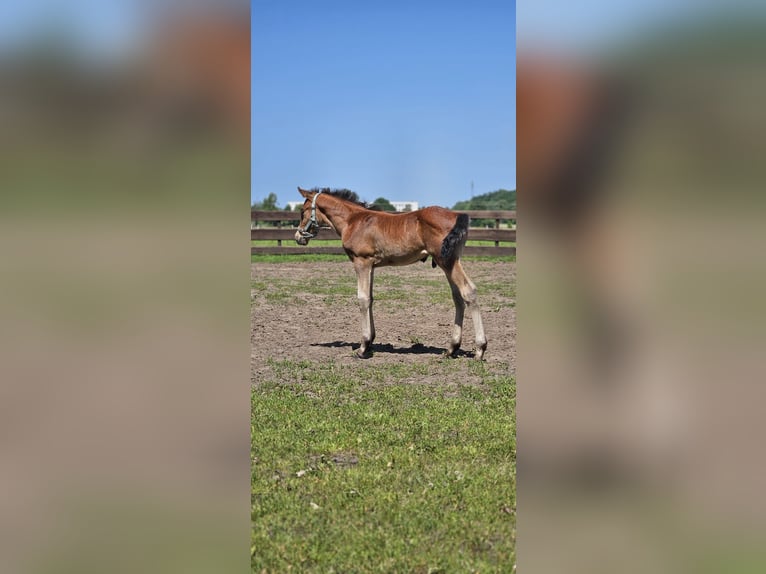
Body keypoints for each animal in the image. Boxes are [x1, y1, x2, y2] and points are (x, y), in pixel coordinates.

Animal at [294, 187, 487, 360]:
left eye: (303, 211)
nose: (298, 237)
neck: (352, 220)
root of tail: (457, 215)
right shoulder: (371, 265)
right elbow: (370, 298)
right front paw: (370, 342)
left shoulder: (361, 262)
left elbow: (363, 299)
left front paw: (363, 347)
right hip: (450, 262)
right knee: (458, 297)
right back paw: (451, 349)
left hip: (447, 262)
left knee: (468, 291)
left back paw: (480, 349)